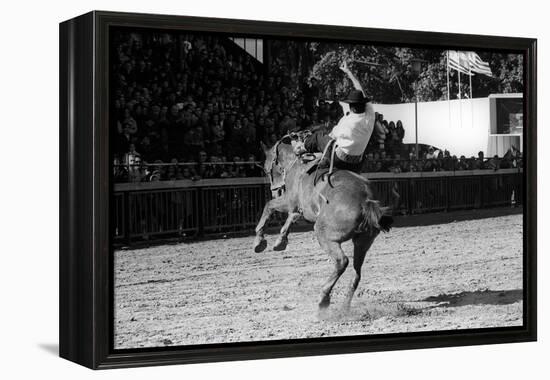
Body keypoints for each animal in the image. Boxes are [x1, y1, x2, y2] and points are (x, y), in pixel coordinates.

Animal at [254, 135, 392, 314]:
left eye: (266, 169)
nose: (275, 191)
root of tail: (365, 200)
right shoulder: (297, 208)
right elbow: (291, 217)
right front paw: (280, 241)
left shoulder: (289, 201)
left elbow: (269, 206)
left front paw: (260, 241)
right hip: (363, 241)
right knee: (357, 272)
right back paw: (344, 308)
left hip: (324, 235)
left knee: (341, 262)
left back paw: (323, 299)